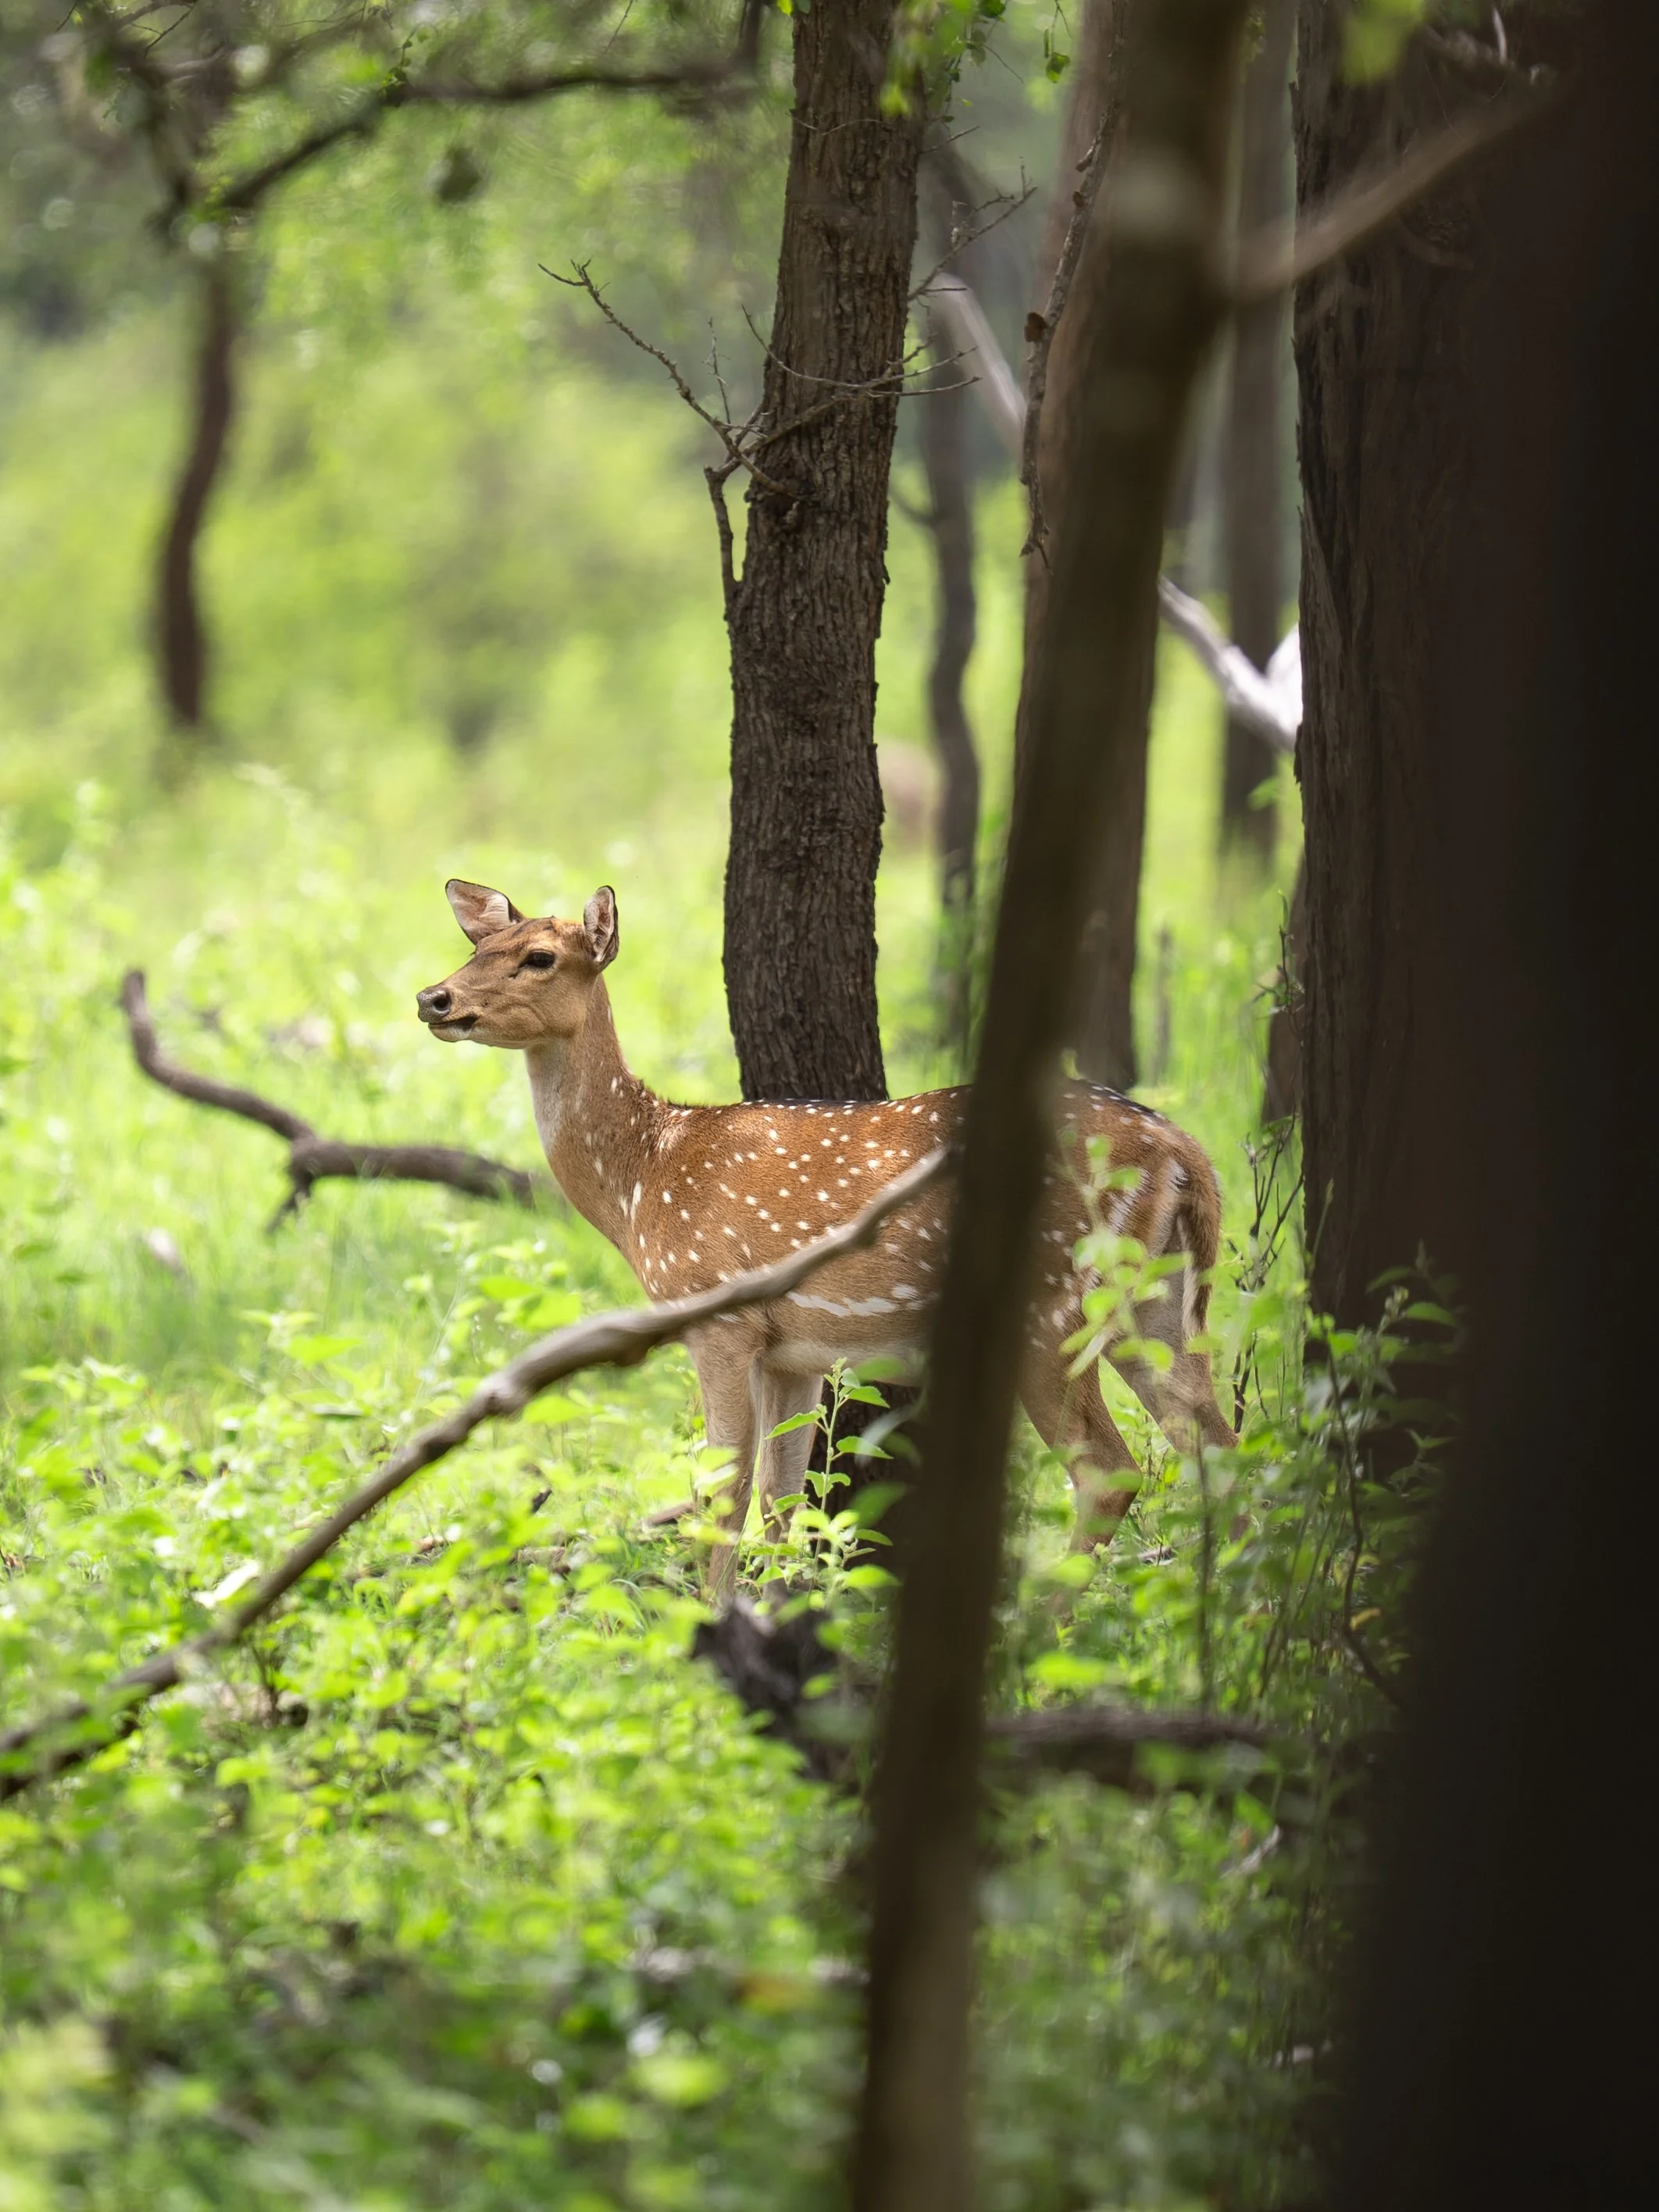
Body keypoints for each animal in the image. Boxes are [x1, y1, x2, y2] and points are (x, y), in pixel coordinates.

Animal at [417, 880, 1238, 1596]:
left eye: (540, 957)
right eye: (478, 945)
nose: (434, 998)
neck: (645, 1176)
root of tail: (1184, 1153)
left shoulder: (718, 1315)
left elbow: (724, 1491)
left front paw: (708, 1629)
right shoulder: (793, 1351)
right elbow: (783, 1500)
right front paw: (777, 1612)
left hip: (1051, 1307)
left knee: (1109, 1471)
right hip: (1157, 1305)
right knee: (1220, 1446)